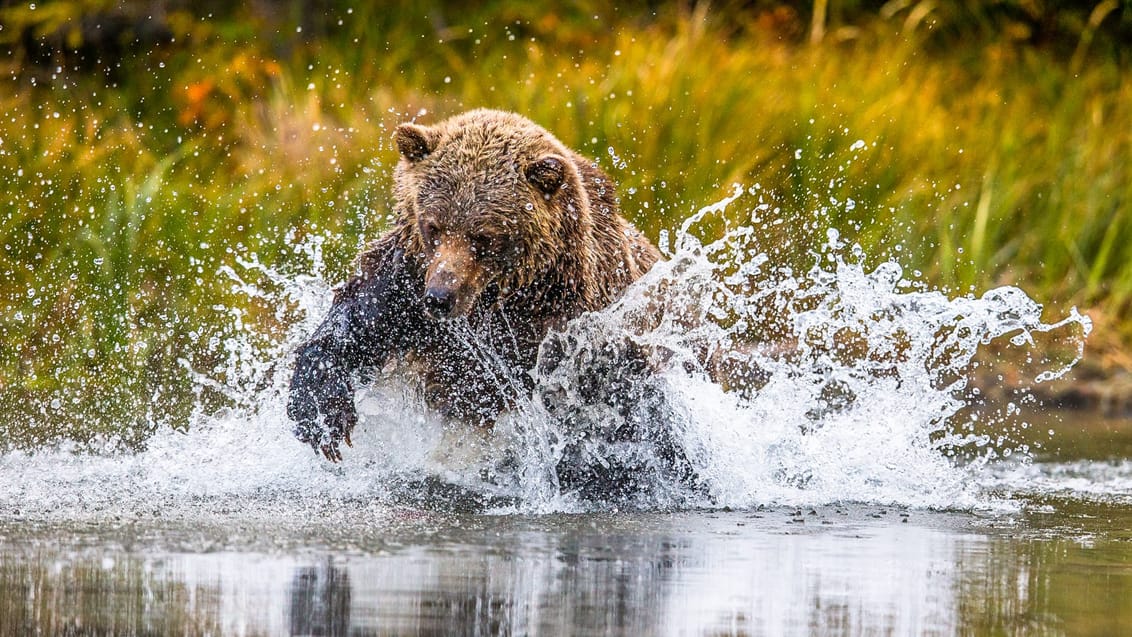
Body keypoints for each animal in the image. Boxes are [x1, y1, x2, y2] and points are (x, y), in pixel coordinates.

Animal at [289, 110, 661, 463]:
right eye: (433, 226)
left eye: (483, 237)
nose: (440, 297)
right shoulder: (406, 281)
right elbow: (354, 323)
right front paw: (323, 414)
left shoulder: (562, 319)